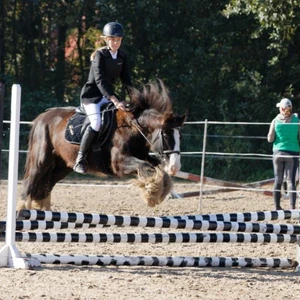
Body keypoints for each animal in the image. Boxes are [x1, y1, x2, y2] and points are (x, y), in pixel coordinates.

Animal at [16, 79, 186, 211]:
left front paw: (157, 192)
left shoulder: (143, 156)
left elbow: (157, 168)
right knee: (28, 184)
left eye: (180, 136)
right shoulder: (119, 164)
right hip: (41, 161)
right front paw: (152, 195)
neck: (133, 127)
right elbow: (147, 167)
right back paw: (21, 211)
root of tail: (42, 117)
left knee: (45, 187)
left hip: (61, 166)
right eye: (166, 135)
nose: (175, 167)